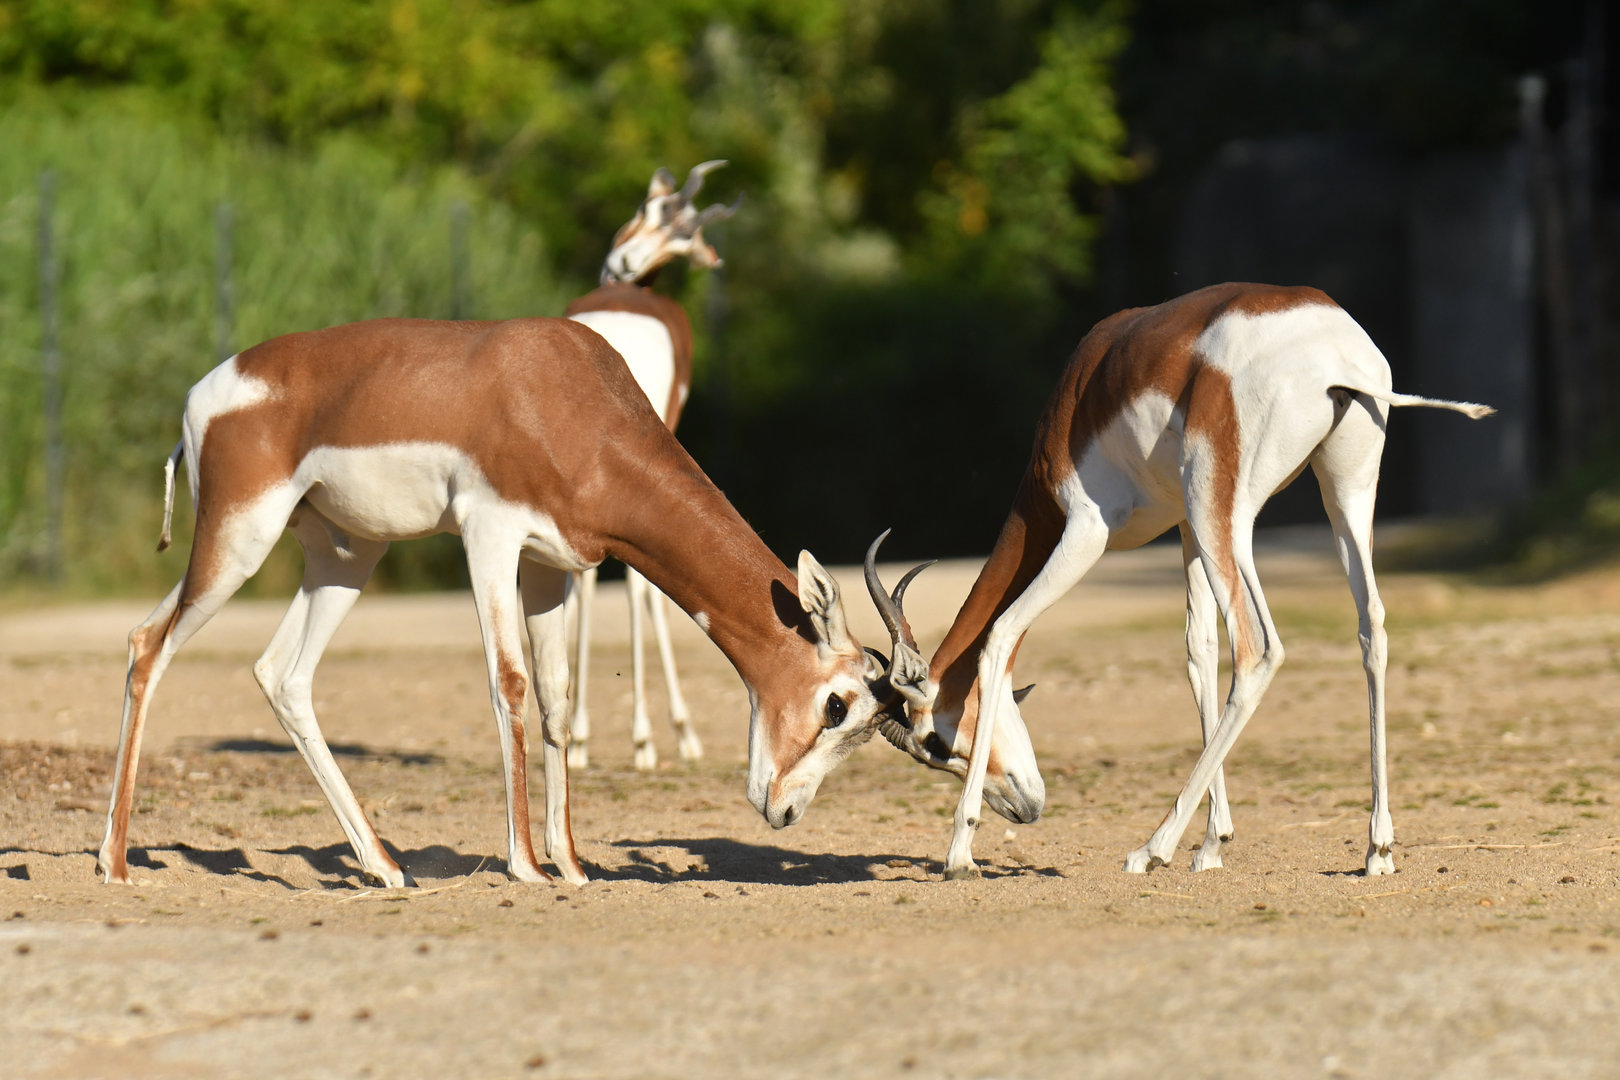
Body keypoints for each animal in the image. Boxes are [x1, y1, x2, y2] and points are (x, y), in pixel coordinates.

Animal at [98, 316, 889, 889]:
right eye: (837, 705)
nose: (786, 810)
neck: (563, 398)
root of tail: (203, 395)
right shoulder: (490, 536)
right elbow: (509, 684)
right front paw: (529, 866)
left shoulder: (550, 564)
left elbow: (557, 697)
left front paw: (572, 864)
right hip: (241, 539)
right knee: (150, 645)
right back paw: (114, 864)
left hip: (343, 557)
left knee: (277, 673)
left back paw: (385, 868)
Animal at [564, 159, 737, 770]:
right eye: (650, 209)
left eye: (684, 233)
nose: (626, 262)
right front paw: (676, 733)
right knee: (637, 580)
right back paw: (642, 736)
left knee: (585, 574)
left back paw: (580, 737)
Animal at [865, 282, 1494, 879]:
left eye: (934, 743)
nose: (1024, 809)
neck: (1079, 400)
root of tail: (1333, 349)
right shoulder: (1183, 529)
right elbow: (1199, 651)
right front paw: (1214, 843)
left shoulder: (1088, 530)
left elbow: (1000, 634)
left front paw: (959, 852)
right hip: (1342, 494)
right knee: (1371, 629)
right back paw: (1377, 847)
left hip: (1226, 515)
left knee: (1259, 648)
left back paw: (1151, 849)